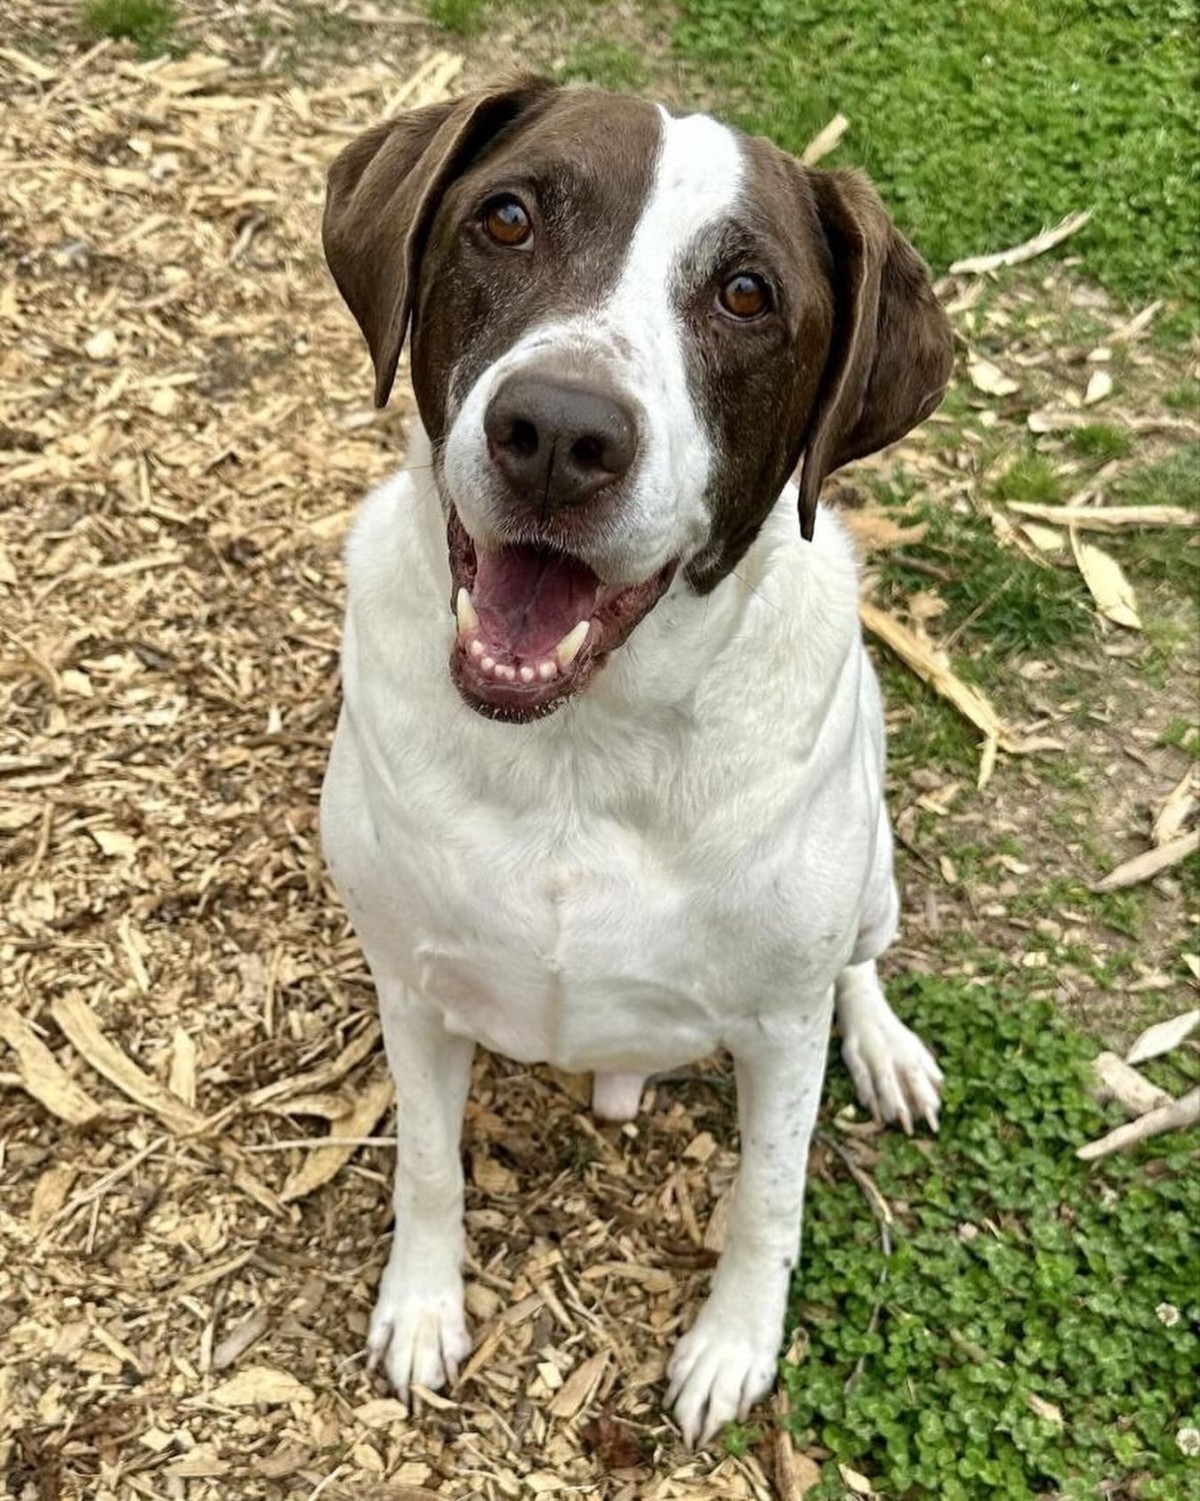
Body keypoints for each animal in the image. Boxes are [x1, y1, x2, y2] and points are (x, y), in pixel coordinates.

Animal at [318, 76, 955, 1446]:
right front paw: (423, 1308)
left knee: (864, 954)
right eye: (505, 218)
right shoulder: (412, 985)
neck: (574, 750)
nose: (558, 432)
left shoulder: (778, 1028)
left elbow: (767, 1201)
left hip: (871, 871)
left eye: (748, 294)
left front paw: (732, 1348)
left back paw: (886, 1048)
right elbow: (427, 1164)